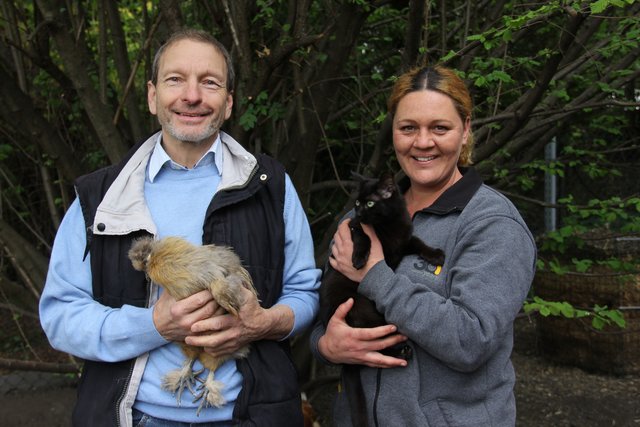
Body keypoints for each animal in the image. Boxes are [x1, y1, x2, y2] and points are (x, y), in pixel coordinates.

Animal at [318, 173, 444, 427]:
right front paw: (359, 258)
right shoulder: (354, 228)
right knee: (376, 347)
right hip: (361, 309)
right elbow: (362, 234)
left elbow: (418, 241)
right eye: (357, 202)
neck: (388, 225)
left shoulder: (403, 240)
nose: (358, 212)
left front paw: (435, 254)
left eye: (370, 203)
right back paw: (401, 352)